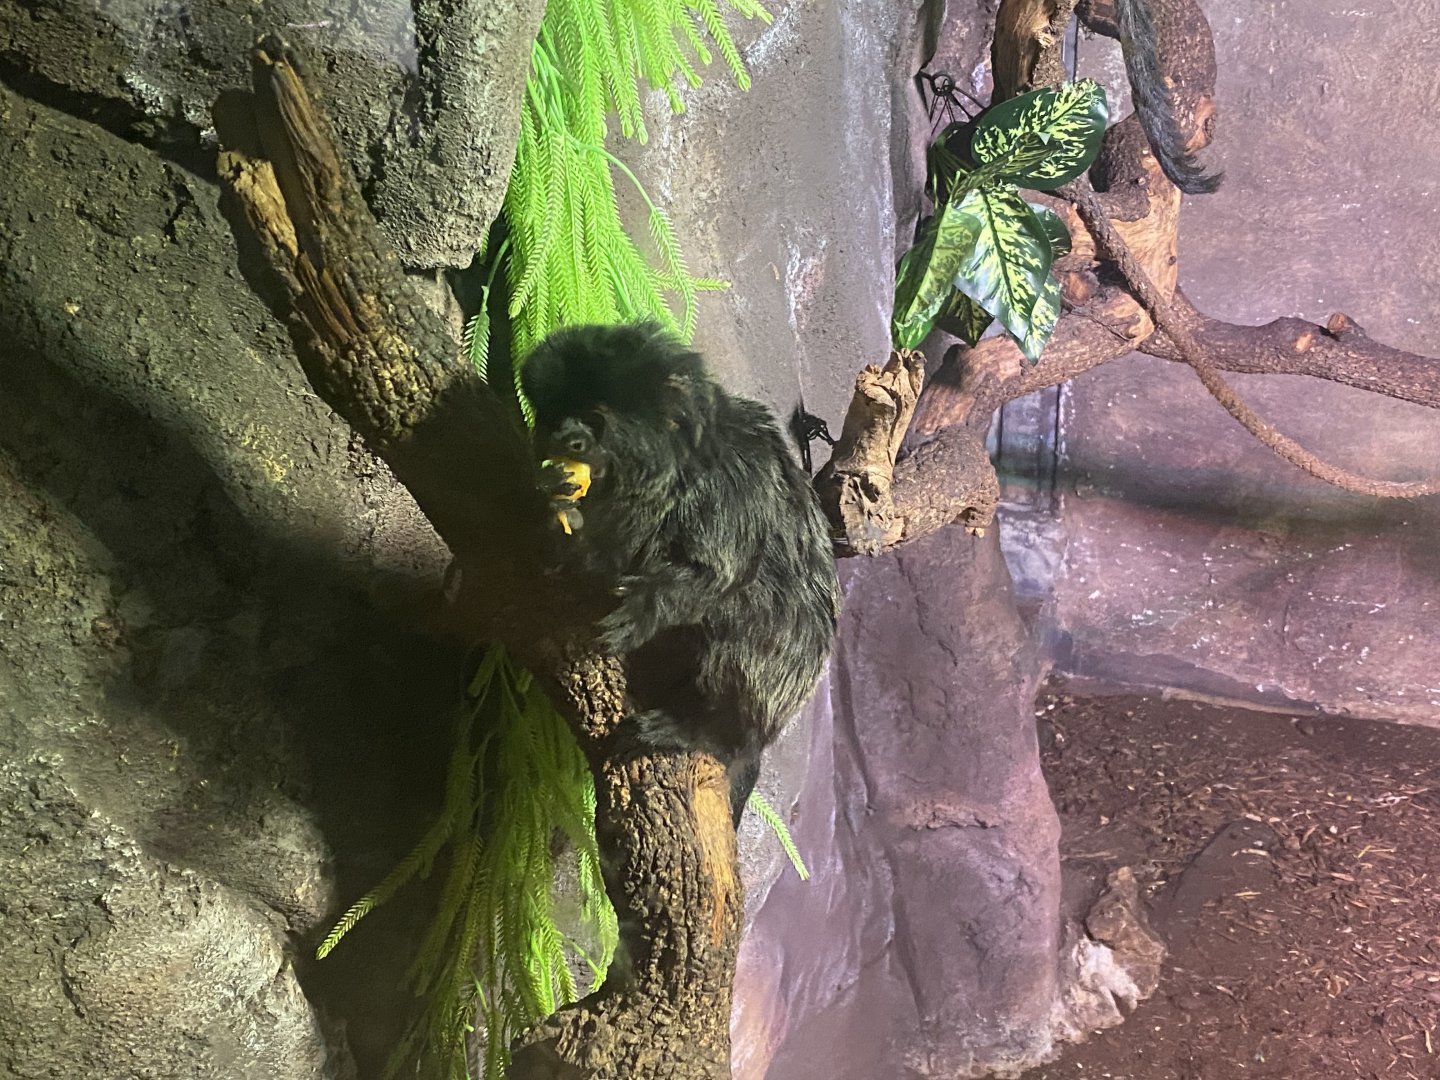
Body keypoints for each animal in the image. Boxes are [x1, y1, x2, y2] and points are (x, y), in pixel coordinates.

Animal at [521, 322, 840, 826]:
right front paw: (558, 515)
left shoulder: (732, 483)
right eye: (558, 416)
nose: (566, 438)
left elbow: (717, 573)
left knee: (751, 639)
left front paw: (642, 607)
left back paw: (703, 730)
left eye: (594, 418)